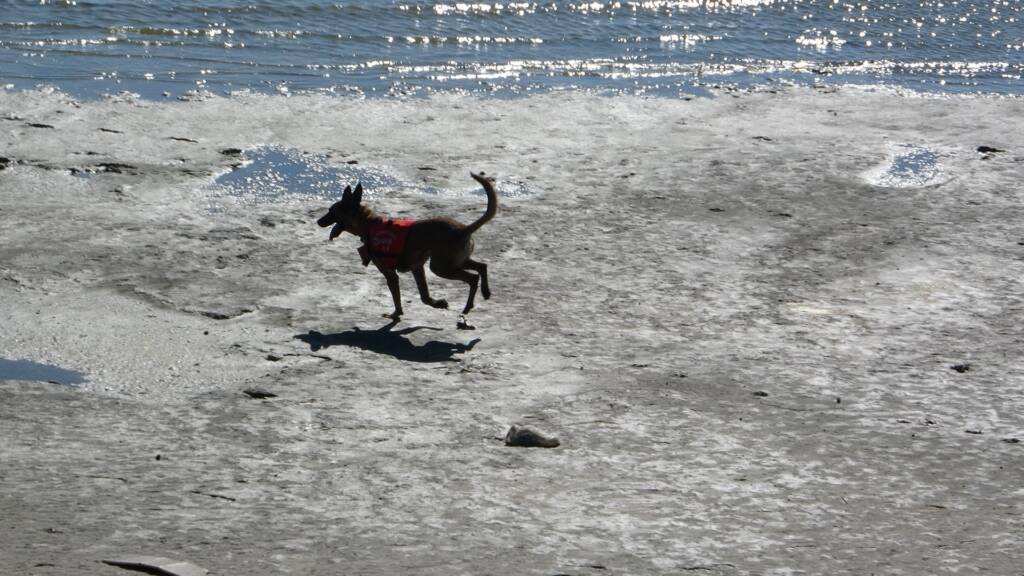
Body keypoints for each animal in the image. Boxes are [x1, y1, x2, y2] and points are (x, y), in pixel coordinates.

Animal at [317, 170, 497, 327]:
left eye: (330, 211)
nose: (318, 221)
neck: (368, 223)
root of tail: (463, 229)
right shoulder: (417, 268)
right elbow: (424, 296)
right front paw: (438, 303)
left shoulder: (390, 274)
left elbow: (397, 298)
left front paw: (396, 314)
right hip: (455, 262)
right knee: (482, 266)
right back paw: (485, 292)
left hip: (441, 267)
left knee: (473, 278)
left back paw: (467, 307)